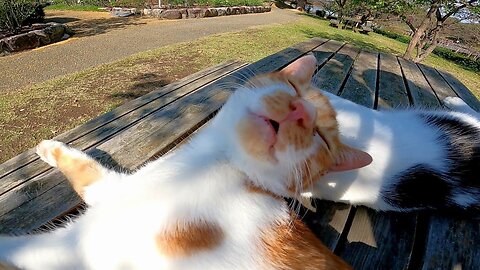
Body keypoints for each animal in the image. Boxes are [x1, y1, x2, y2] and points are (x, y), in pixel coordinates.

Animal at [0, 54, 372, 270]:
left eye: (321, 137)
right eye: (294, 88)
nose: (301, 111)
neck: (202, 167)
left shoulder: (83, 248)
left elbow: (16, 250)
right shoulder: (113, 191)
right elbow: (86, 169)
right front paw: (47, 148)